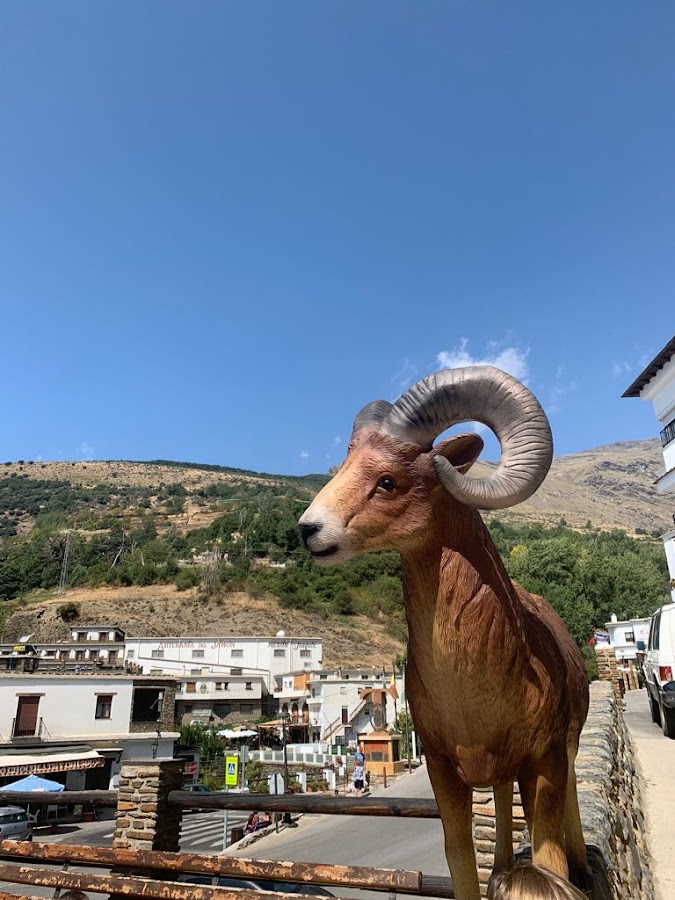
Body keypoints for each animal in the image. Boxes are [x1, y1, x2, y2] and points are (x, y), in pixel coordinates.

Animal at [298, 366, 589, 900]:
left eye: (387, 481)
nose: (308, 530)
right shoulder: (444, 775)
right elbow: (463, 860)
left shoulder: (545, 765)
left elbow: (549, 855)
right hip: (501, 777)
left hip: (558, 761)